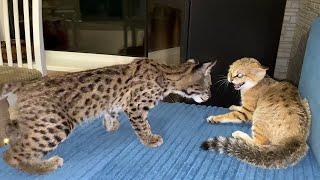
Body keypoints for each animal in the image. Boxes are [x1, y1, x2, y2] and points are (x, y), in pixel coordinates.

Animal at [1, 58, 216, 174]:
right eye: (209, 86)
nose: (210, 97)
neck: (167, 74)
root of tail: (25, 84)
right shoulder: (135, 106)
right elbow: (142, 125)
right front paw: (149, 139)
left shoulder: (117, 103)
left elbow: (111, 111)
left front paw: (111, 125)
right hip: (56, 125)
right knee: (12, 154)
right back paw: (44, 166)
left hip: (39, 123)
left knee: (13, 133)